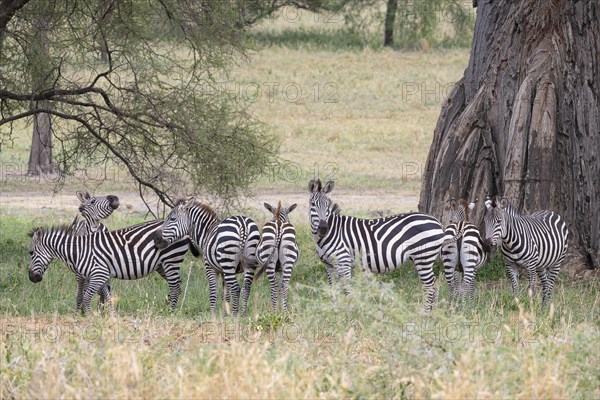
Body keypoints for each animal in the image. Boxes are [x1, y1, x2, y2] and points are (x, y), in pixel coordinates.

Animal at [28, 220, 197, 314]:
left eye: (31, 252)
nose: (31, 278)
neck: (79, 251)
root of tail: (185, 229)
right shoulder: (101, 275)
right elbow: (107, 296)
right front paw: (112, 316)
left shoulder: (99, 273)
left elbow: (87, 297)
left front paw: (90, 317)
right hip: (162, 265)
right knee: (177, 286)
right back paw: (166, 308)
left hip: (171, 259)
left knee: (175, 287)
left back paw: (169, 312)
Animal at [310, 179, 446, 312]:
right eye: (312, 205)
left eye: (327, 205)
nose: (323, 229)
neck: (332, 232)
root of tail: (437, 222)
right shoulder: (329, 265)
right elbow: (333, 288)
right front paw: (335, 309)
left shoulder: (344, 261)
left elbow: (347, 288)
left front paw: (349, 310)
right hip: (421, 258)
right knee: (435, 283)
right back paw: (433, 312)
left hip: (423, 257)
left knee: (429, 285)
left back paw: (425, 313)